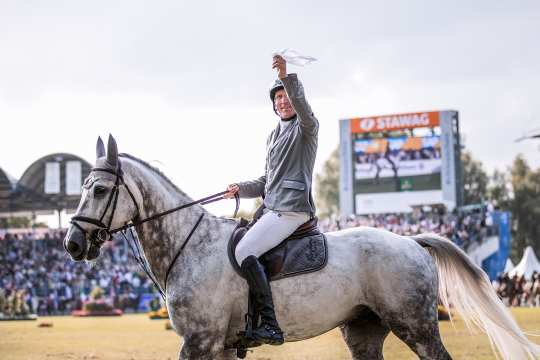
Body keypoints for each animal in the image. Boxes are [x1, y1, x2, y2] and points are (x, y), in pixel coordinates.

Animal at [64, 136, 540, 360]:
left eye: (100, 189)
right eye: (83, 187)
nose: (72, 244)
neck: (189, 244)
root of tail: (410, 240)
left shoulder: (199, 342)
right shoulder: (219, 346)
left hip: (416, 325)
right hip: (363, 331)